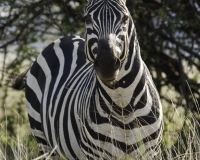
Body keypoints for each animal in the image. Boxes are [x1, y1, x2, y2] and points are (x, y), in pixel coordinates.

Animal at [13, 0, 162, 159]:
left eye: (125, 18)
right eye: (87, 19)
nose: (107, 64)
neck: (123, 105)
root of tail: (64, 39)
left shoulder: (151, 152)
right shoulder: (94, 153)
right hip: (43, 140)